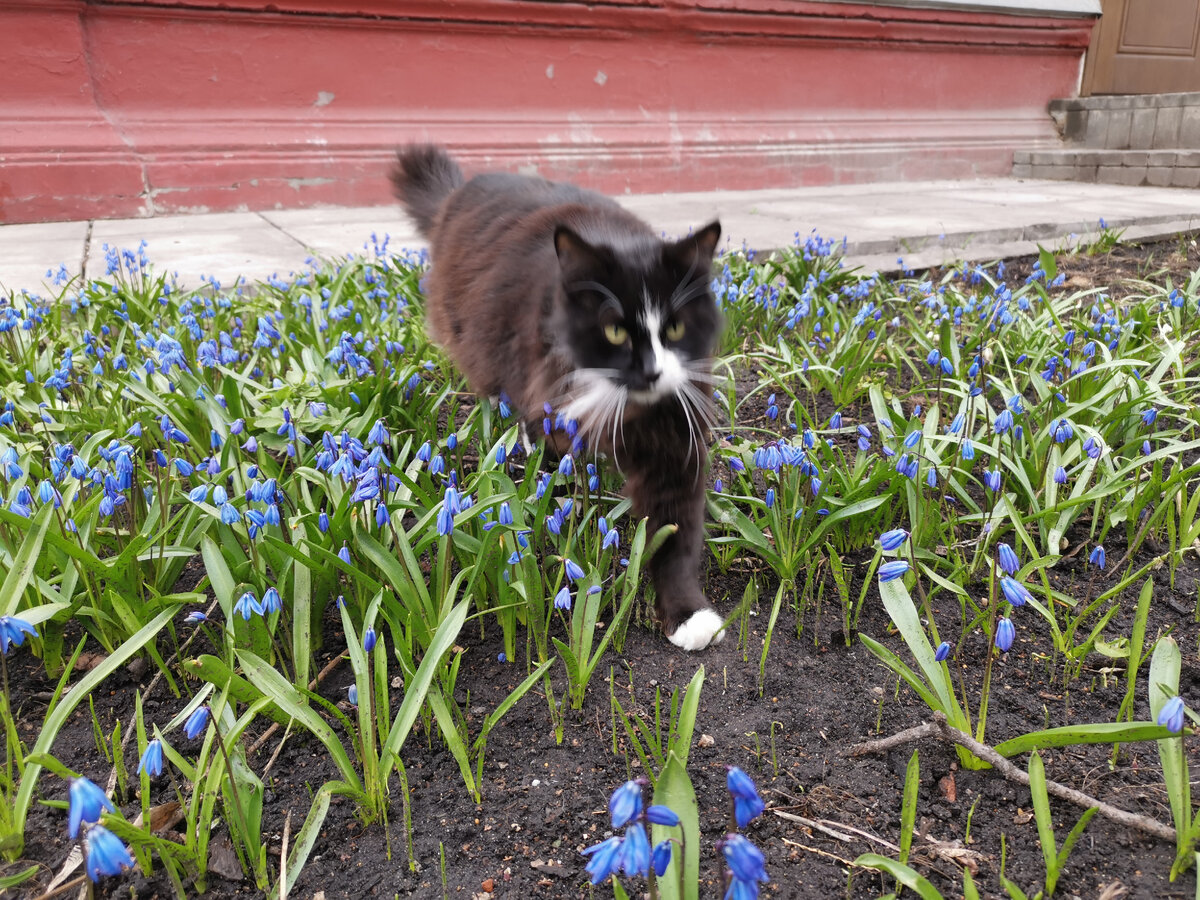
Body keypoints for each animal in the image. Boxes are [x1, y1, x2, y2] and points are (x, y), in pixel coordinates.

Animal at [393, 148, 720, 652]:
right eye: (615, 330)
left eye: (676, 329)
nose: (652, 371)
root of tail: (459, 191)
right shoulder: (544, 396)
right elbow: (553, 462)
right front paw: (563, 506)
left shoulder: (674, 430)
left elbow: (674, 536)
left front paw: (690, 616)